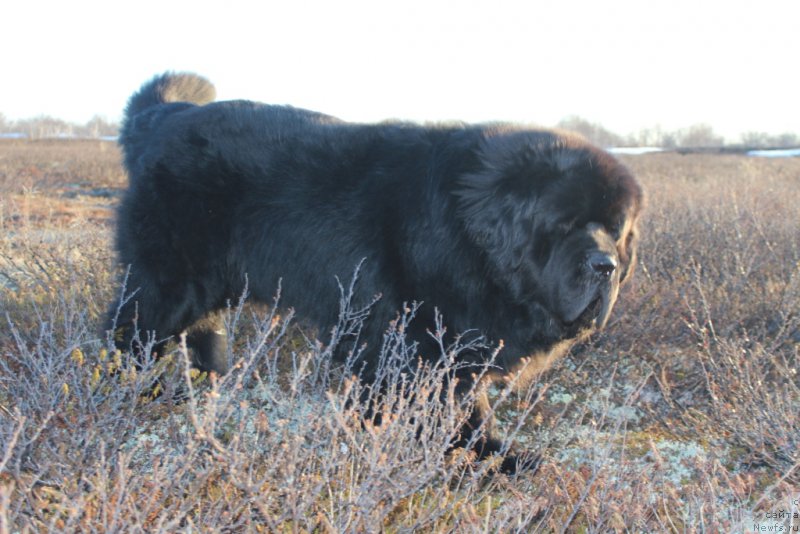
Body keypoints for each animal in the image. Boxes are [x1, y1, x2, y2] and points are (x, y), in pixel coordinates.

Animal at [108, 73, 644, 476]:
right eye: (565, 224)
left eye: (616, 230)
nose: (605, 265)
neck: (471, 239)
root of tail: (165, 117)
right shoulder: (414, 339)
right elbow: (438, 407)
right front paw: (463, 458)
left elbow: (467, 405)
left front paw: (491, 455)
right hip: (171, 281)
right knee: (131, 329)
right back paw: (128, 393)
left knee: (200, 332)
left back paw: (207, 383)